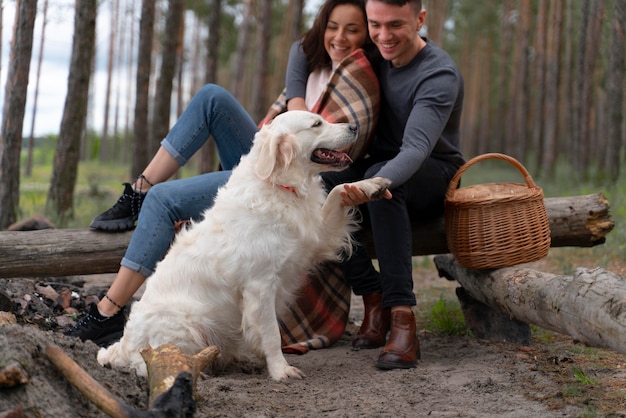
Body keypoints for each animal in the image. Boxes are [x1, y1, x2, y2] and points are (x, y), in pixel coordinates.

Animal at [96, 111, 390, 382]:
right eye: (316, 124)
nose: (354, 127)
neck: (279, 184)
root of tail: (121, 346)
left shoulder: (316, 236)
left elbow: (340, 190)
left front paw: (370, 185)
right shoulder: (260, 285)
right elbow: (272, 333)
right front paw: (281, 370)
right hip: (185, 323)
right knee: (155, 361)